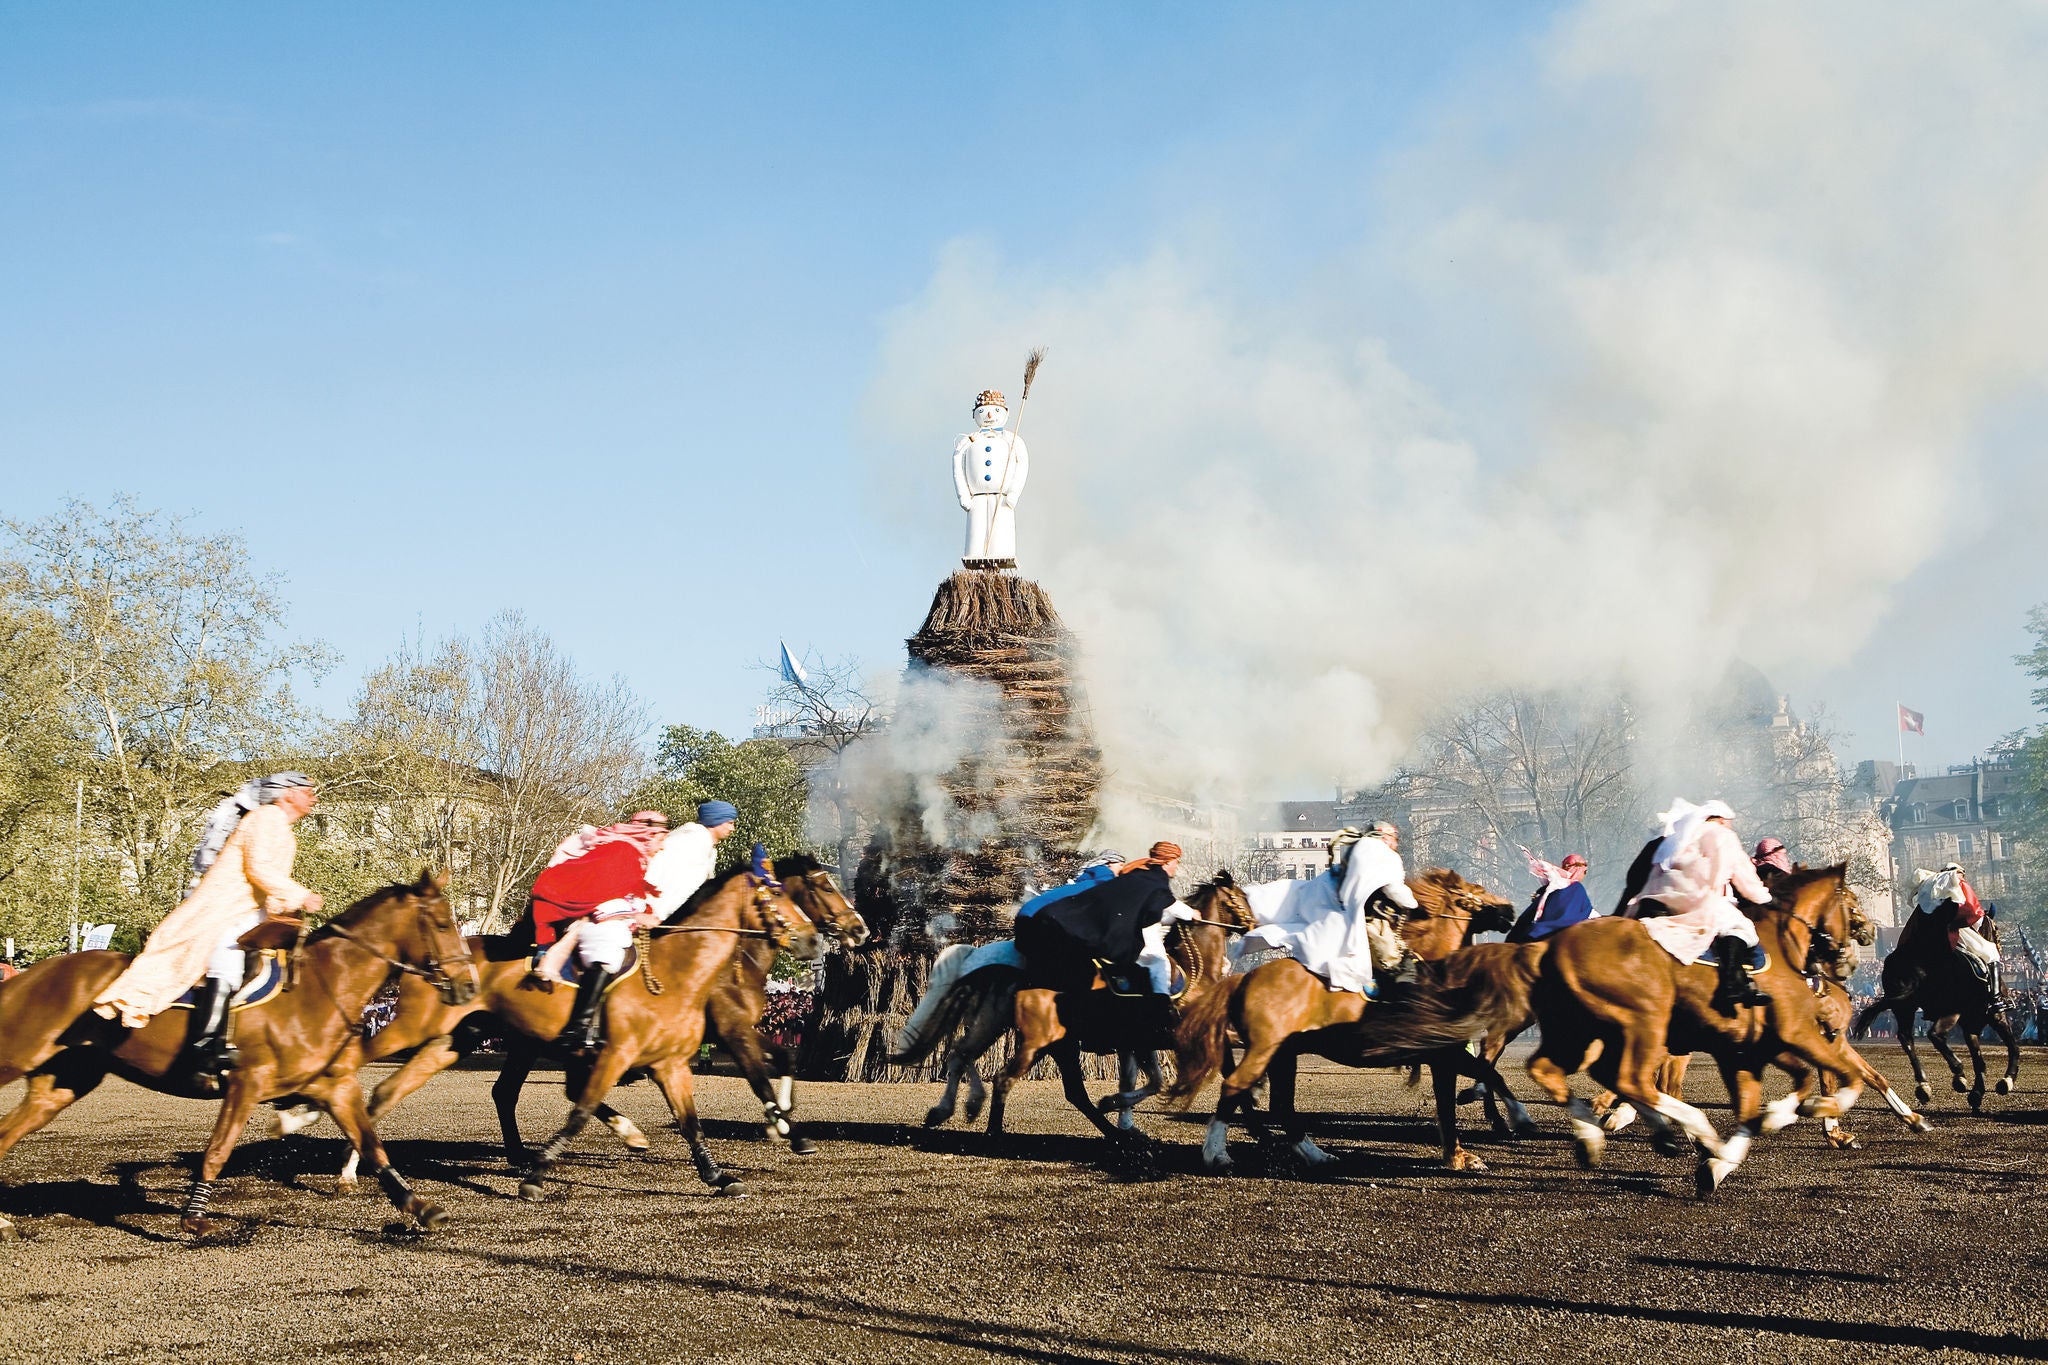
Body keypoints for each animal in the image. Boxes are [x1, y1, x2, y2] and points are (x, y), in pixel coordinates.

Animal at [0, 875, 471, 1236]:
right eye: (443, 924)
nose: (467, 985)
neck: (320, 988)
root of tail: (34, 974)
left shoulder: (334, 1086)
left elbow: (372, 1144)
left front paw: (417, 1205)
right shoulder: (246, 1083)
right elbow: (218, 1149)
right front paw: (193, 1217)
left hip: (61, 1084)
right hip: (18, 1058)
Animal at [1531, 863, 1892, 1195]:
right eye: (1852, 901)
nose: (1868, 935)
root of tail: (1555, 948)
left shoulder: (1749, 1050)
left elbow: (1775, 1095)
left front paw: (1725, 1158)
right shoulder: (1800, 1035)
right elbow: (1850, 1078)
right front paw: (1818, 1114)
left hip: (1585, 1034)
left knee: (1556, 1070)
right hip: (1644, 1027)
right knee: (1632, 1079)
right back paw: (1683, 1129)